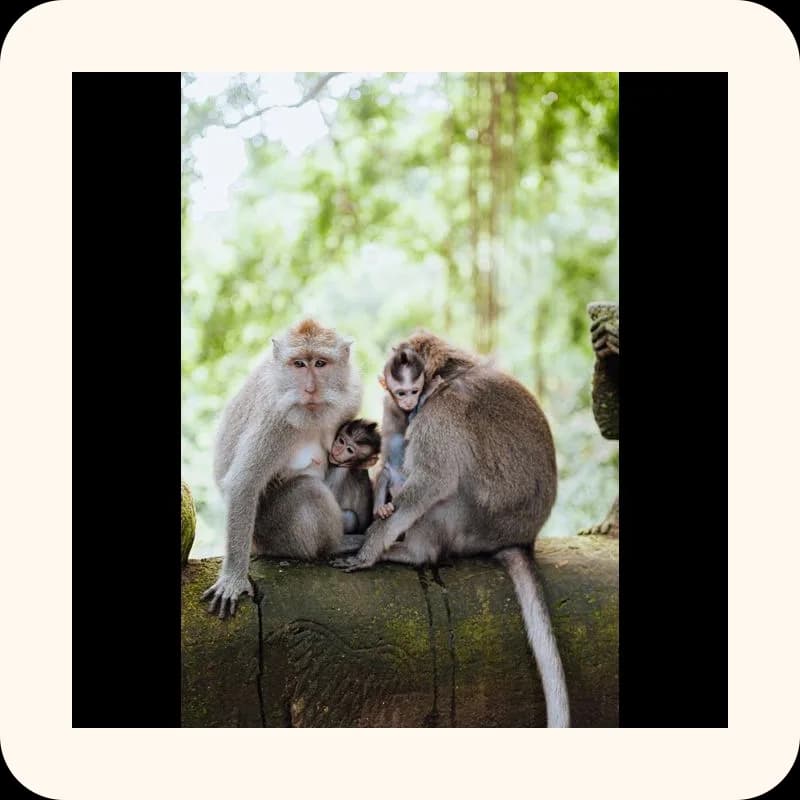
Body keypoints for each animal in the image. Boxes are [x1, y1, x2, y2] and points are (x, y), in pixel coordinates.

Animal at [202, 319, 362, 619]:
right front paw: (233, 579)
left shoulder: (352, 395)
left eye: (320, 363)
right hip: (271, 533)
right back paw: (335, 546)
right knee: (309, 490)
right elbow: (244, 483)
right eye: (298, 364)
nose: (310, 389)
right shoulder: (275, 419)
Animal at [332, 331, 570, 727]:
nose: (407, 407)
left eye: (414, 392)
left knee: (446, 493)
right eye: (401, 392)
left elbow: (434, 480)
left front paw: (368, 549)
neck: (448, 380)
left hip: (473, 526)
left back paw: (412, 552)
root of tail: (523, 539)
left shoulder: (441, 416)